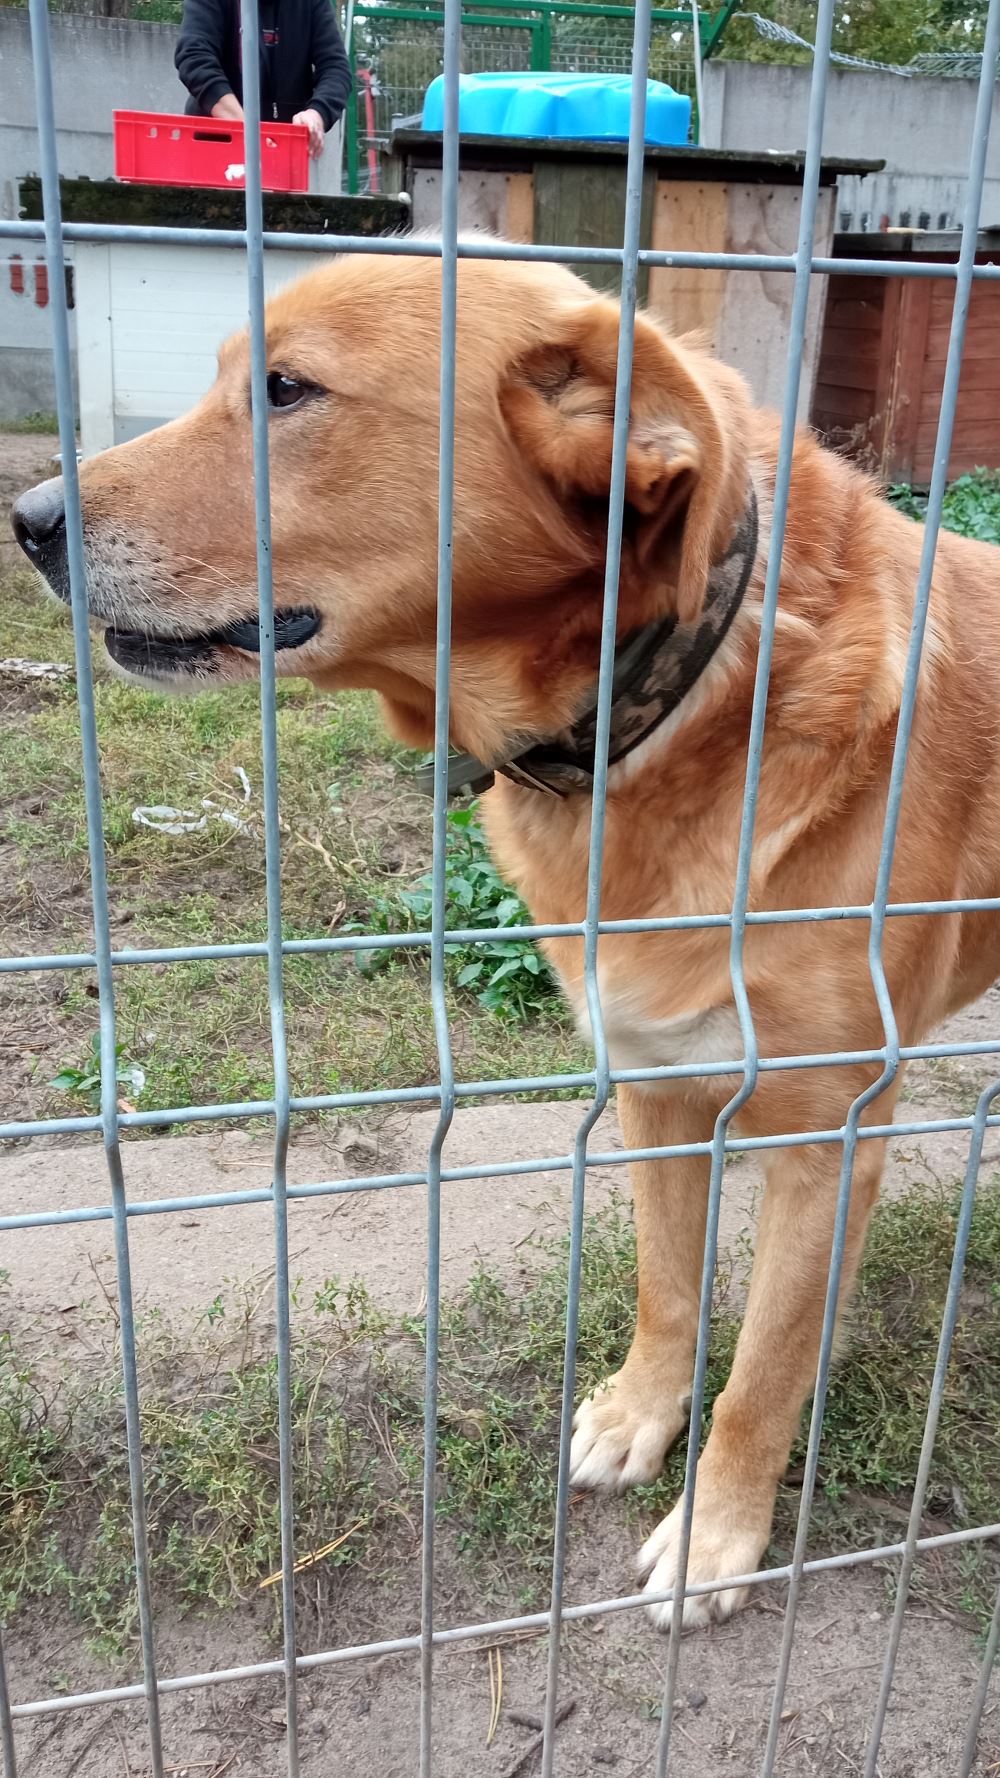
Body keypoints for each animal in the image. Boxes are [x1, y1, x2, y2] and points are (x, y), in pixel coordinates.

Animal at [13, 251, 1000, 1629]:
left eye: (286, 389)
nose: (27, 517)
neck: (687, 703)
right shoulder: (654, 1083)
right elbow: (666, 1288)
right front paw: (640, 1416)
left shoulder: (827, 1136)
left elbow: (760, 1374)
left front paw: (716, 1535)